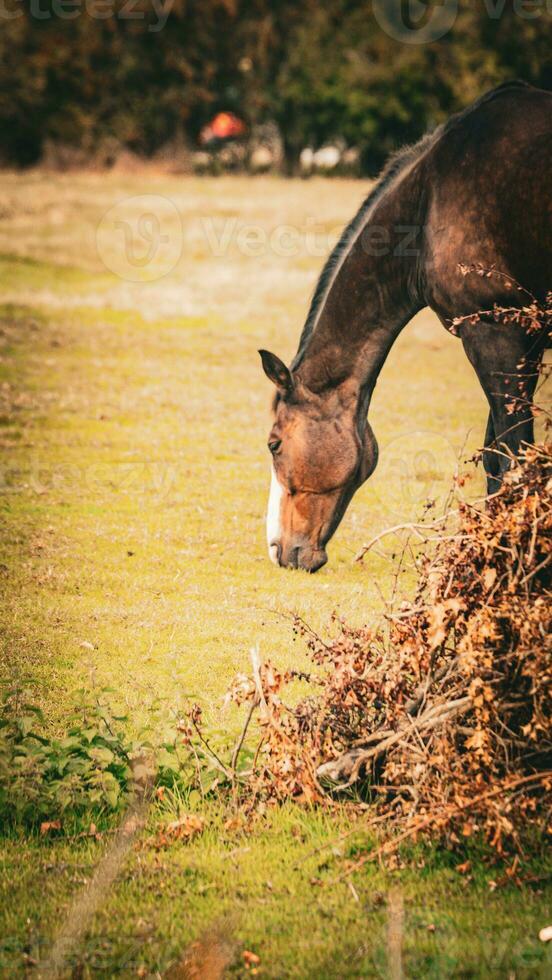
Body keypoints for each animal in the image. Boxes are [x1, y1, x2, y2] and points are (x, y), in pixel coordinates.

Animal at [260, 84, 552, 576]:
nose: (279, 550)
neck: (428, 202)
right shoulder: (525, 343)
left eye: (274, 444)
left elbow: (510, 459)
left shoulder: (495, 334)